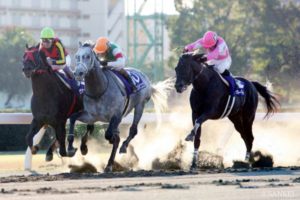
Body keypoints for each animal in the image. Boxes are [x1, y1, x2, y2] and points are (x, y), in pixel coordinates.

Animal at [66, 41, 173, 172]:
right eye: (76, 56)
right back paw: (109, 164)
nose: (78, 73)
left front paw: (111, 140)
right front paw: (75, 148)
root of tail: (145, 78)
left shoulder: (115, 115)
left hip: (140, 105)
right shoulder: (91, 116)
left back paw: (122, 149)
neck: (98, 90)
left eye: (87, 56)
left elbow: (109, 135)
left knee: (132, 130)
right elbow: (73, 118)